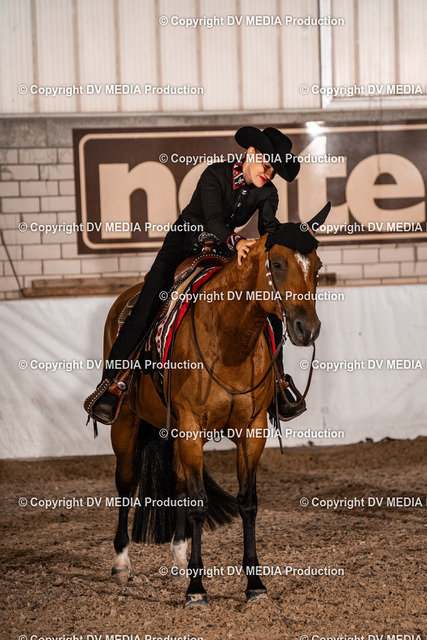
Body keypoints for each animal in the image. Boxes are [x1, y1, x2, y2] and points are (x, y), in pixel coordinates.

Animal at [103, 207, 328, 607]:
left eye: (317, 266)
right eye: (278, 263)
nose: (308, 328)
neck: (229, 340)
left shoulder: (252, 431)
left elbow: (246, 502)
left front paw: (254, 584)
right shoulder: (192, 429)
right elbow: (198, 503)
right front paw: (197, 589)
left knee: (177, 485)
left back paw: (178, 559)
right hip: (126, 424)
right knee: (126, 484)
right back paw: (121, 565)